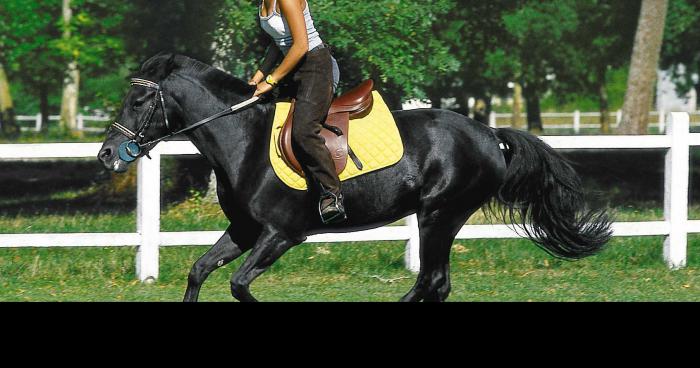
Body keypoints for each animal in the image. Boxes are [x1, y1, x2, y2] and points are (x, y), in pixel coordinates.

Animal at [98, 54, 612, 302]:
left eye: (139, 102)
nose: (106, 155)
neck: (243, 139)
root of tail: (488, 132)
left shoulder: (282, 234)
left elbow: (240, 285)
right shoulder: (244, 230)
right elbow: (200, 271)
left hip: (439, 216)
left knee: (431, 281)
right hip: (439, 218)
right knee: (436, 284)